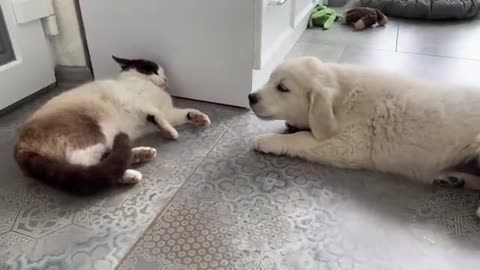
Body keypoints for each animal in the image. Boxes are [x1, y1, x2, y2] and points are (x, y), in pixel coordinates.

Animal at [13, 55, 210, 194]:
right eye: (153, 70)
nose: (166, 78)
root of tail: (20, 143)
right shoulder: (142, 105)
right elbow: (160, 117)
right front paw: (170, 132)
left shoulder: (168, 111)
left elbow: (185, 112)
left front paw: (200, 119)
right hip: (92, 134)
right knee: (89, 167)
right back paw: (130, 174)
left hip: (107, 139)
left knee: (110, 158)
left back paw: (142, 155)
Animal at [249, 56, 480, 213]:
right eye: (269, 79)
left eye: (283, 88)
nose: (251, 97)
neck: (341, 97)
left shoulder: (349, 144)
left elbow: (303, 139)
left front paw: (268, 140)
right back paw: (453, 179)